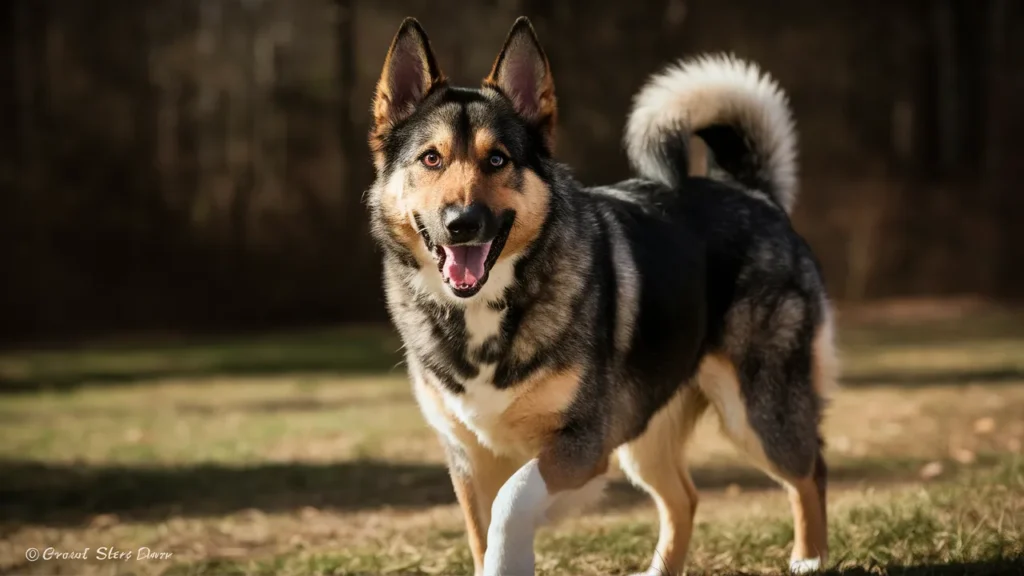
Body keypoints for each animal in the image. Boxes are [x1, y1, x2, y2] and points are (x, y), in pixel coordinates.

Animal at [364, 14, 835, 573]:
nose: (463, 224)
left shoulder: (582, 444)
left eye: (497, 159)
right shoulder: (469, 459)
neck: (486, 310)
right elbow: (486, 533)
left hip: (756, 412)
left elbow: (510, 504)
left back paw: (809, 558)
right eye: (431, 159)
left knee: (810, 470)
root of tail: (752, 192)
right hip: (646, 432)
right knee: (684, 497)